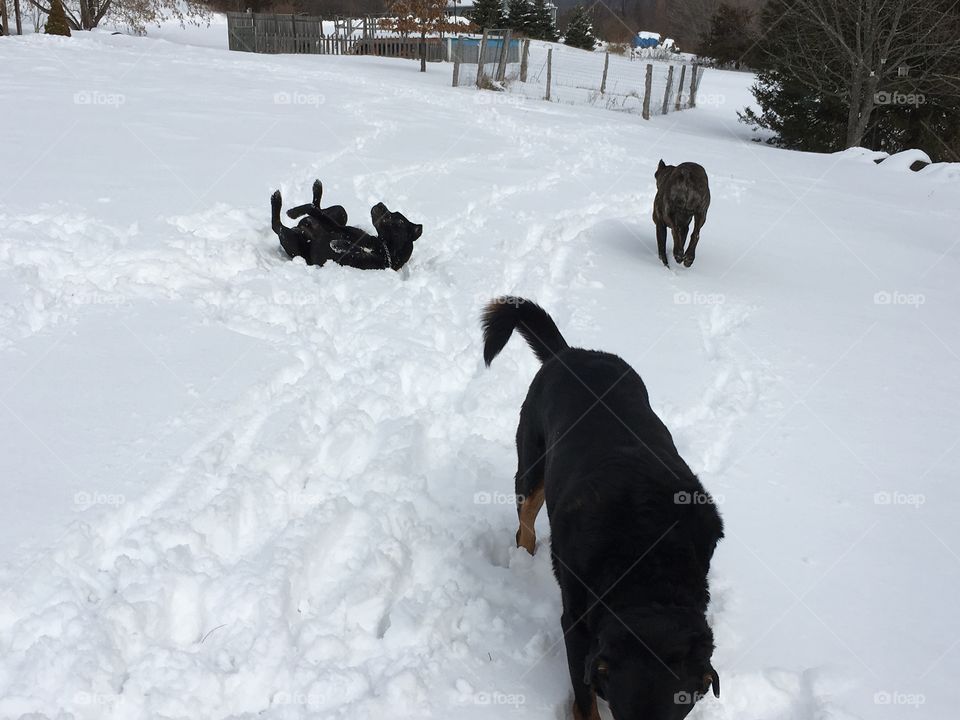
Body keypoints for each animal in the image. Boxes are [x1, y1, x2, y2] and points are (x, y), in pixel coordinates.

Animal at [270, 180, 420, 270]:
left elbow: (348, 246)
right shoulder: (341, 228)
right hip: (341, 212)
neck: (382, 247)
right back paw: (317, 189)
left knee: (277, 226)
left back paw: (276, 200)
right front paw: (294, 211)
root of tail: (300, 228)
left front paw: (337, 244)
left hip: (293, 243)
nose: (381, 204)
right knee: (317, 208)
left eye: (396, 220)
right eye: (395, 213)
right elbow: (311, 208)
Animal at [484, 296, 724, 716]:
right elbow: (584, 701)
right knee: (524, 521)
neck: (649, 561)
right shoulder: (577, 625)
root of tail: (567, 353)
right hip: (531, 463)